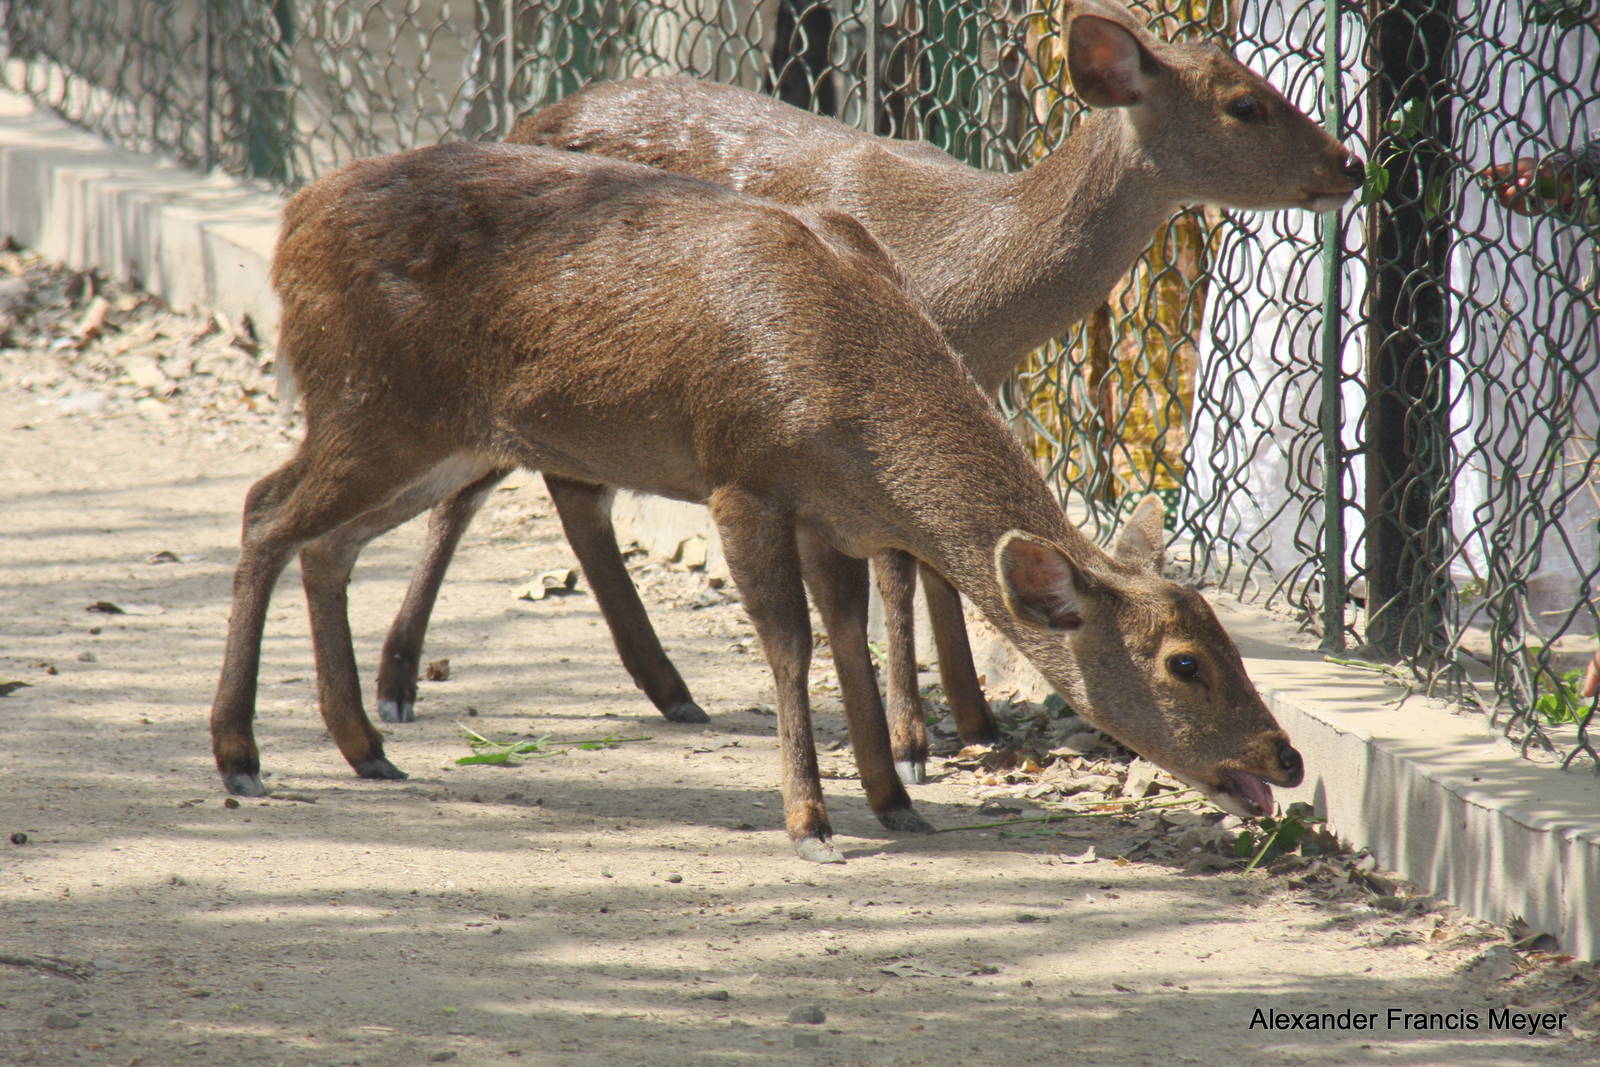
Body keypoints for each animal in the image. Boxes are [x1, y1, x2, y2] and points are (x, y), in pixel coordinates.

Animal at [211, 141, 1305, 862]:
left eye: (1227, 641)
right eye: (1184, 662)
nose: (1286, 758)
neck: (846, 410)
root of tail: (289, 223)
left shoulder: (834, 518)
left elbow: (851, 637)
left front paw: (895, 799)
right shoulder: (740, 476)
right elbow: (791, 643)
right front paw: (811, 821)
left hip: (444, 436)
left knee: (329, 543)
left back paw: (365, 747)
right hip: (369, 401)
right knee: (264, 507)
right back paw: (241, 754)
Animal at [365, 0, 1363, 785]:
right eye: (1246, 104)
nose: (1350, 166)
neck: (972, 279)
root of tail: (522, 123)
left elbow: (944, 562)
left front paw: (975, 716)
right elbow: (899, 566)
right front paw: (918, 739)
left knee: (561, 488)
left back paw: (666, 689)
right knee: (475, 485)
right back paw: (398, 684)